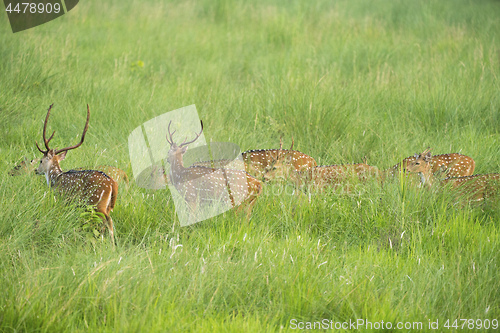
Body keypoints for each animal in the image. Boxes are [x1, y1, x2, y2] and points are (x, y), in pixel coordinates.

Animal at [35, 104, 119, 244]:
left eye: (41, 160)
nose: (36, 170)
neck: (54, 179)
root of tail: (113, 183)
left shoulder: (62, 198)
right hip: (107, 206)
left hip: (97, 202)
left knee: (108, 221)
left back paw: (110, 245)